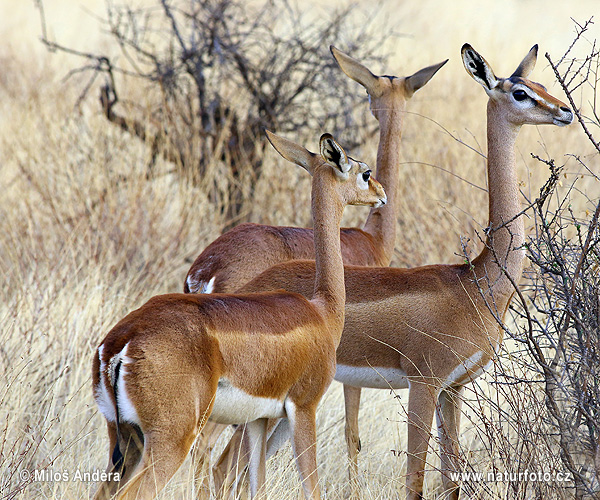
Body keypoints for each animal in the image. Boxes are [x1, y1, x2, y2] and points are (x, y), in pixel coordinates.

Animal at [91, 130, 386, 500]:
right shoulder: (303, 407)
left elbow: (258, 485)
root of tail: (119, 345)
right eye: (364, 172)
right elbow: (311, 487)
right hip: (171, 440)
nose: (382, 195)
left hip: (125, 441)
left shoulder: (257, 421)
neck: (323, 310)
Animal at [213, 45, 576, 498]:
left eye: (540, 83)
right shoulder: (424, 384)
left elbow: (450, 480)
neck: (477, 285)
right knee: (222, 465)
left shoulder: (453, 389)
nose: (565, 111)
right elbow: (414, 480)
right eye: (521, 92)